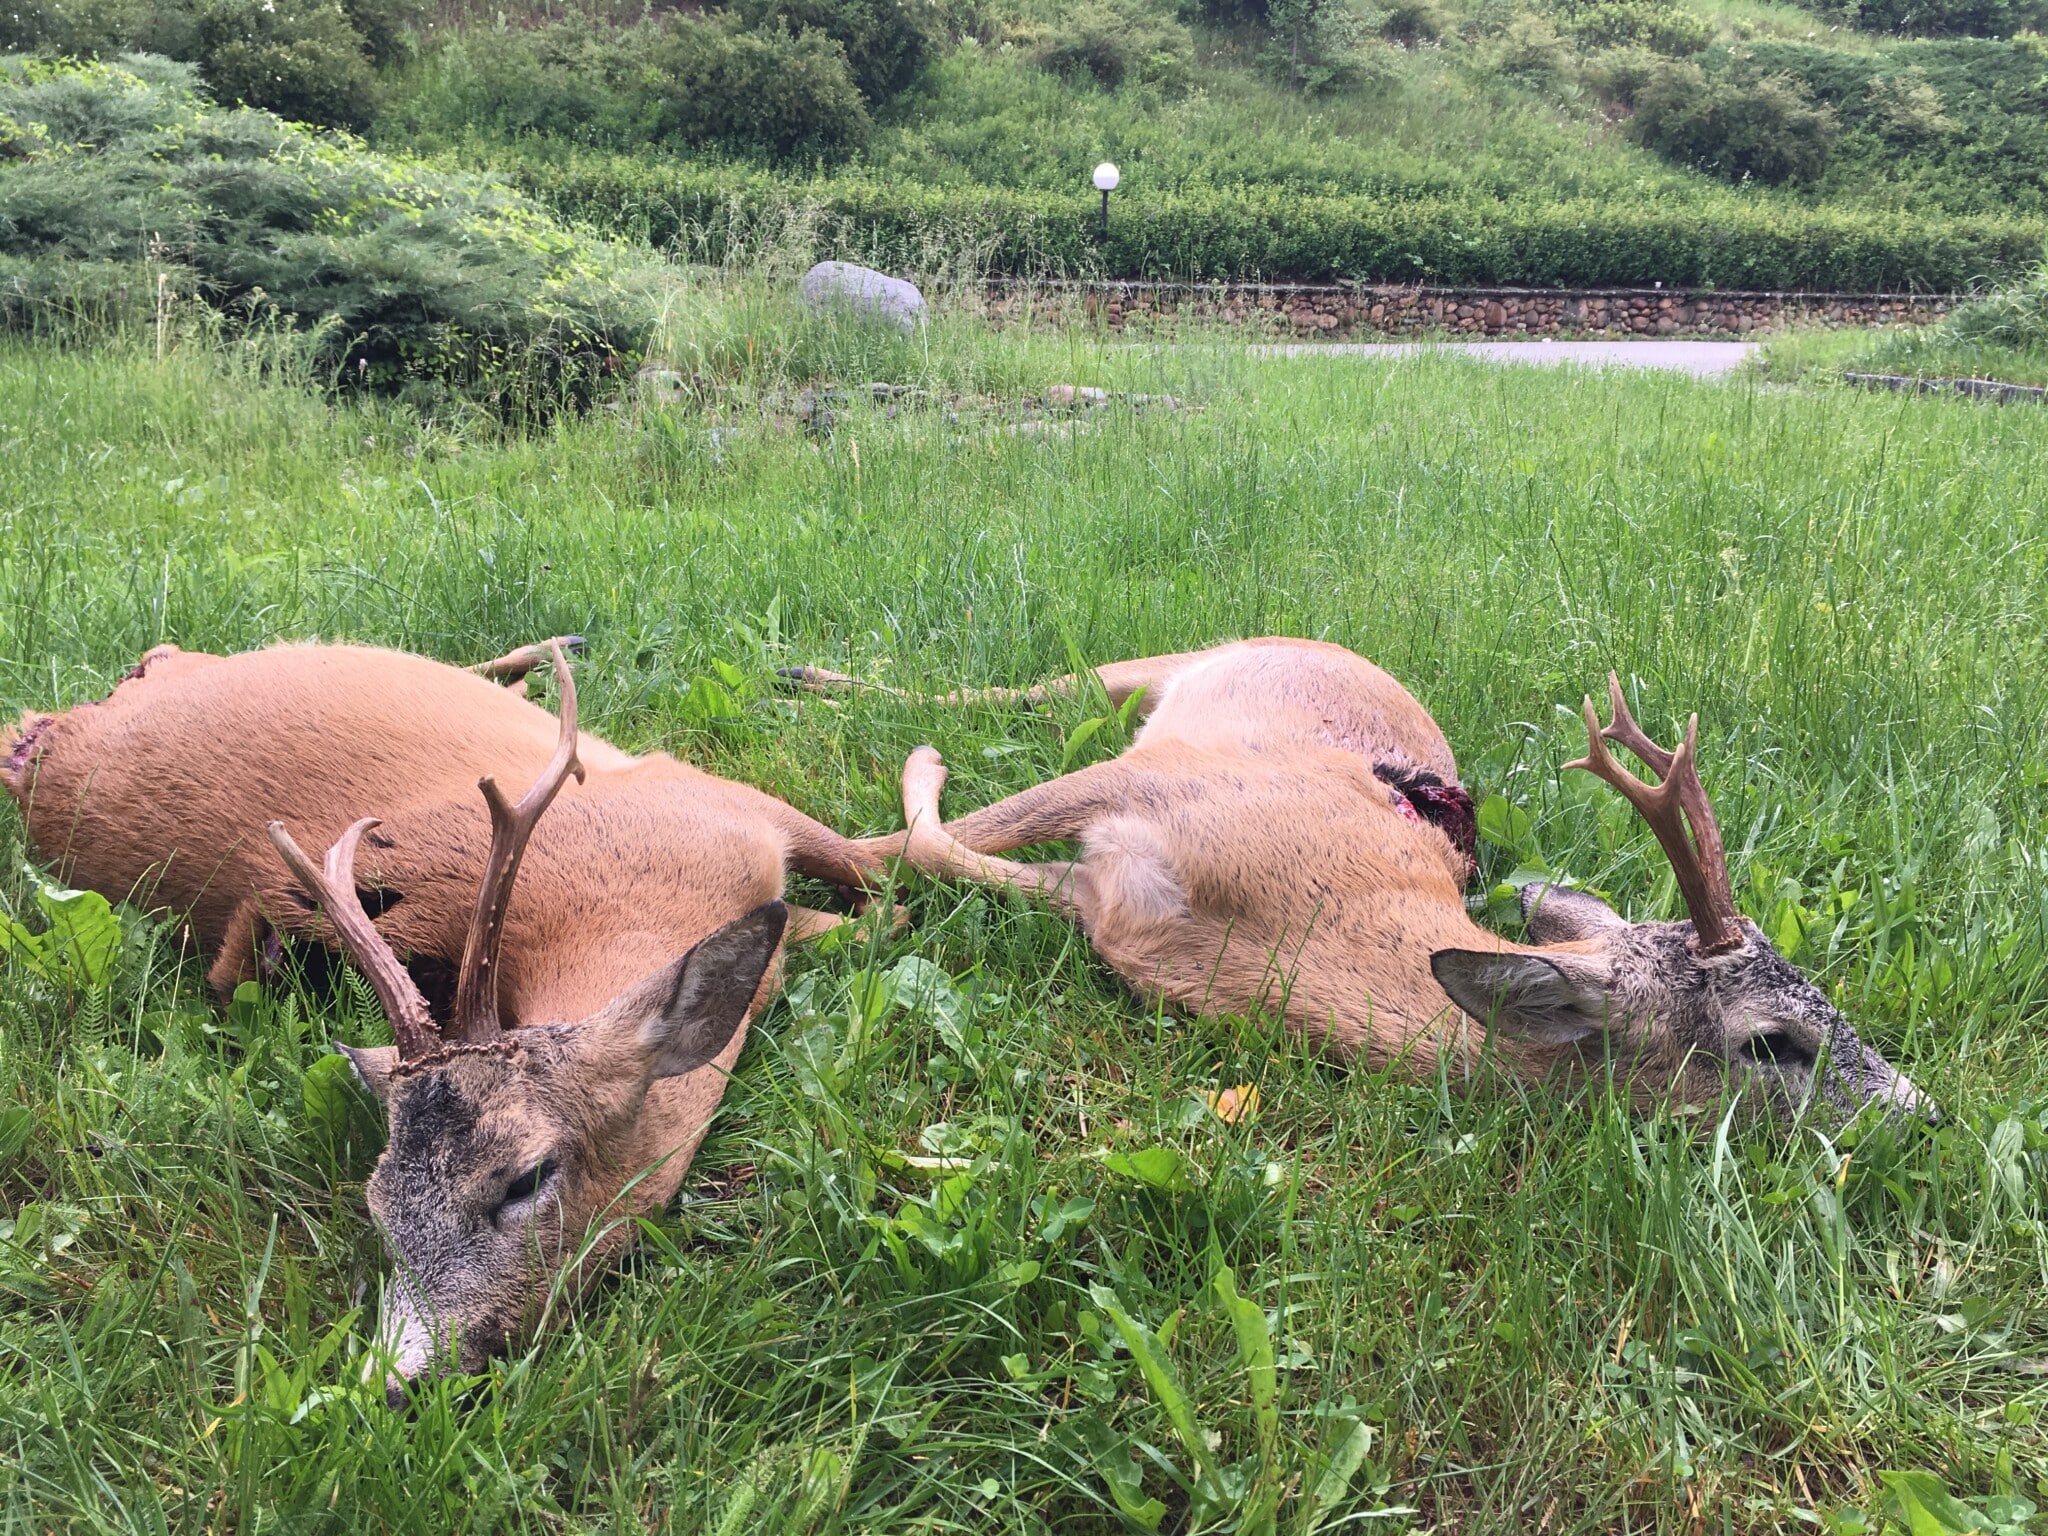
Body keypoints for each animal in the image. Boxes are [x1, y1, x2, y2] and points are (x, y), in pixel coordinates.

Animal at [4, 638, 890, 1401]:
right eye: (376, 1206)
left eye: (526, 1178)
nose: (390, 1386)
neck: (643, 907)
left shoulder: (719, 795)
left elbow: (899, 873)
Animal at [797, 637, 1928, 1121]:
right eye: (1772, 1044)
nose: (1924, 1113)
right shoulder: (1149, 782)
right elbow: (901, 845)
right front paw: (902, 798)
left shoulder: (1103, 906)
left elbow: (943, 854)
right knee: (1010, 685)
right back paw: (815, 679)